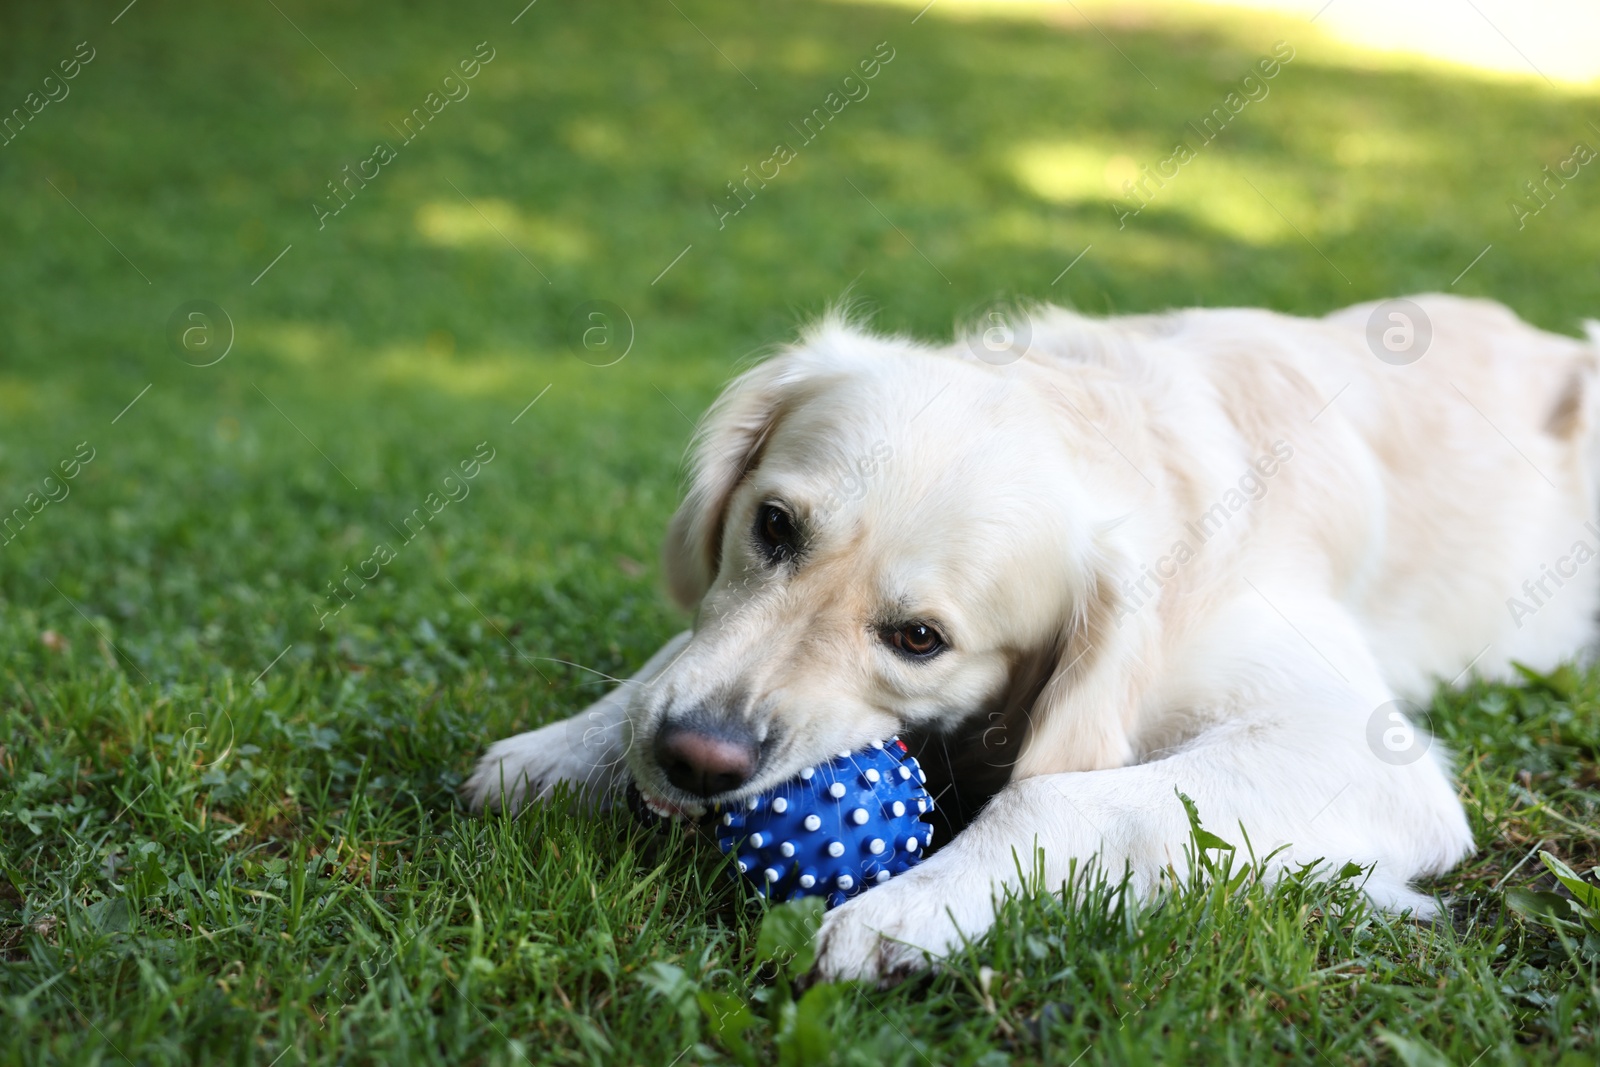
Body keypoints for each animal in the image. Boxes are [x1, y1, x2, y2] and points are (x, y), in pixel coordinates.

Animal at [467, 292, 1600, 985]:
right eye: (774, 526)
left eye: (919, 638)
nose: (694, 757)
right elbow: (671, 656)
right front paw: (565, 745)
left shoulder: (1362, 751)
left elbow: (1062, 791)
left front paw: (913, 905)